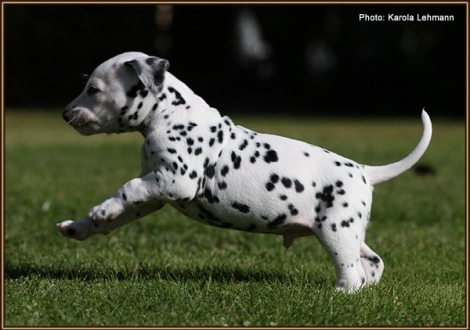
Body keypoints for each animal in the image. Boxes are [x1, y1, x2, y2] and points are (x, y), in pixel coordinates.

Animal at [58, 51, 434, 292]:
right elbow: (125, 204)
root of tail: (365, 171)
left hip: (336, 232)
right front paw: (84, 225)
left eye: (93, 90)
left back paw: (342, 292)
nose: (64, 114)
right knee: (372, 262)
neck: (170, 114)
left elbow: (128, 187)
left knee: (351, 272)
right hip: (349, 232)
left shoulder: (175, 180)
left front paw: (100, 209)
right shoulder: (155, 191)